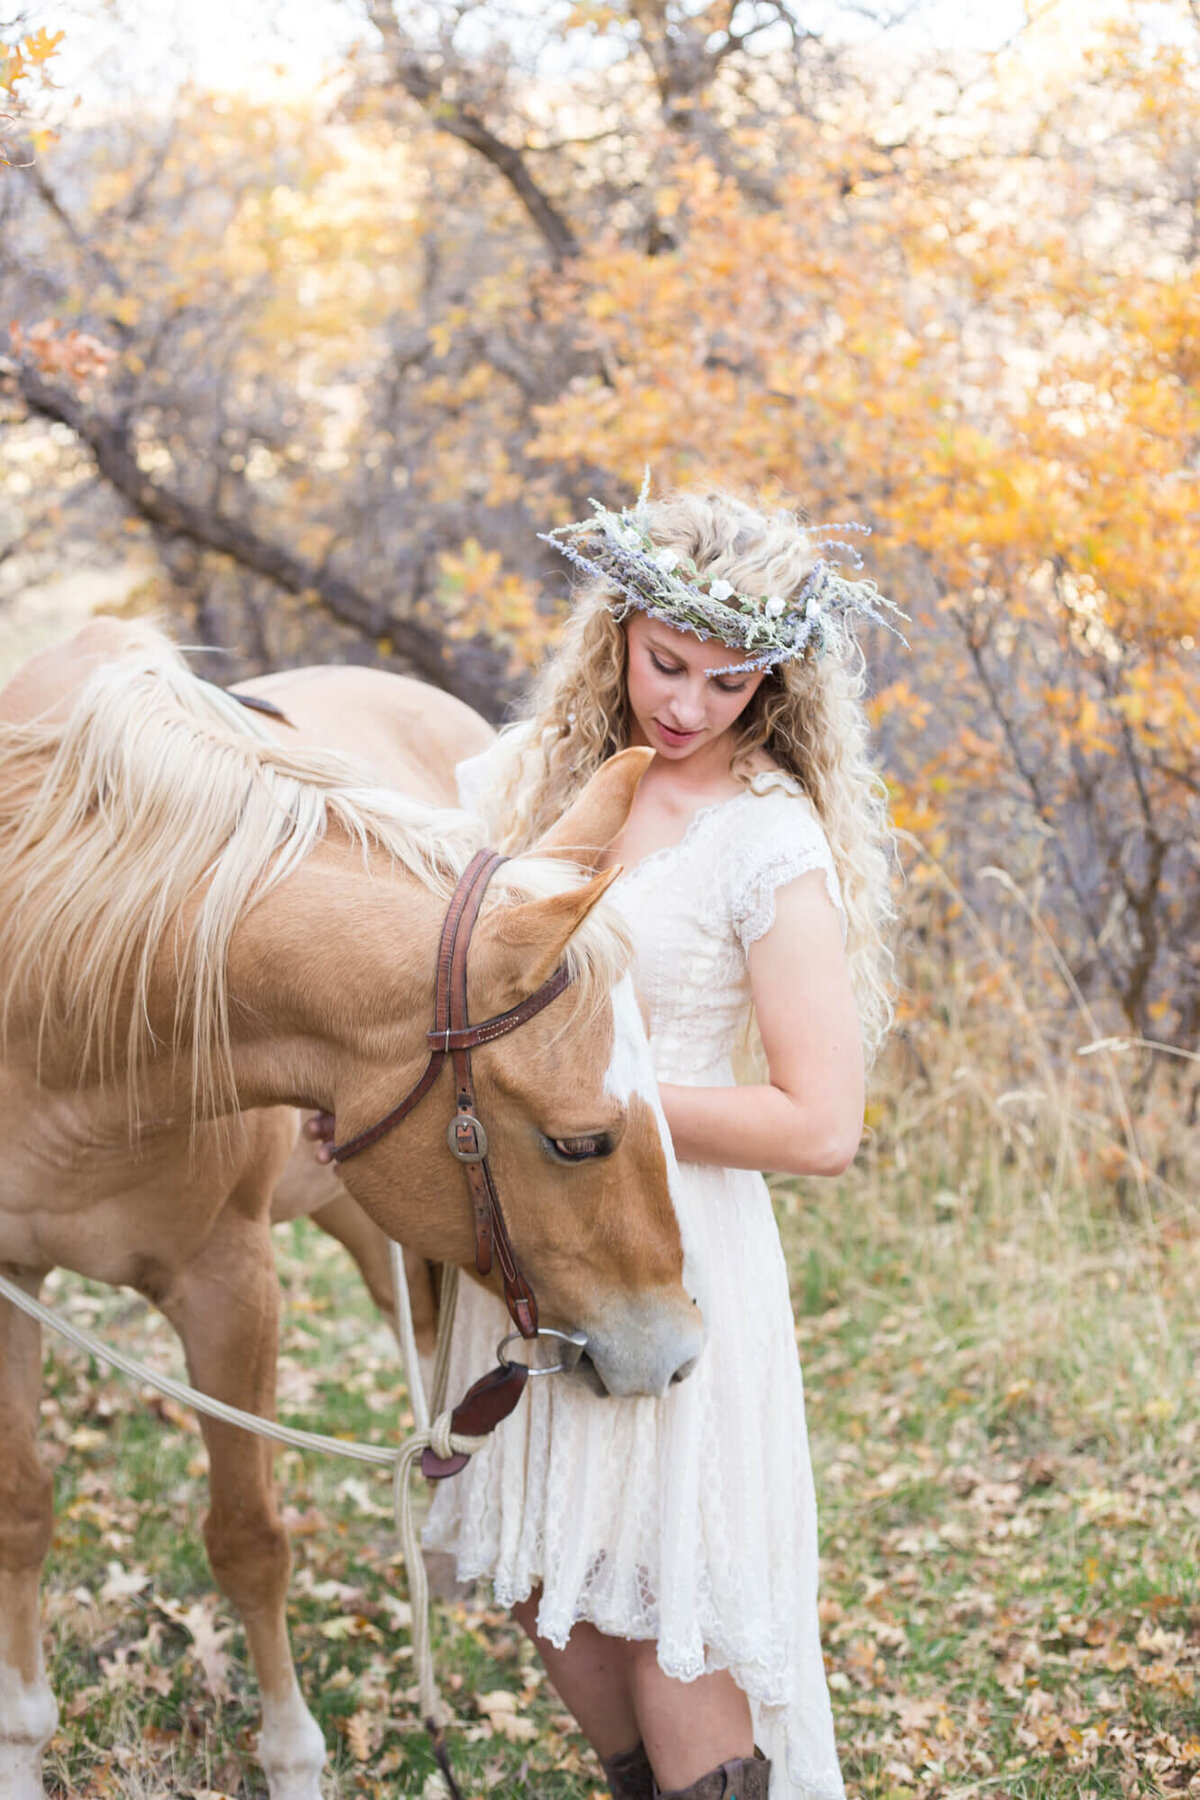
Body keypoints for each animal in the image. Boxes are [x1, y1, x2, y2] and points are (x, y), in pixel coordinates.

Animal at [0, 622, 705, 1800]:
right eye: (580, 1142)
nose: (681, 1353)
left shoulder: (231, 1286)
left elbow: (248, 1540)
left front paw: (292, 1761)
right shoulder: (11, 1285)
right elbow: (22, 1513)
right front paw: (20, 1746)